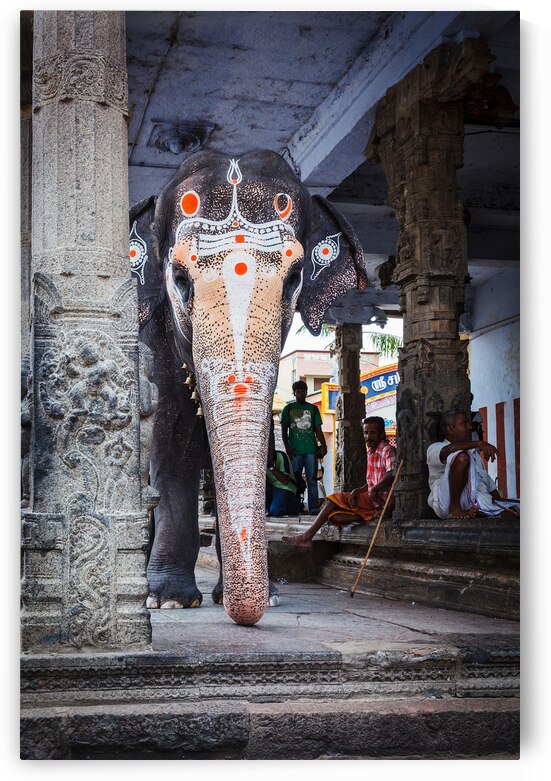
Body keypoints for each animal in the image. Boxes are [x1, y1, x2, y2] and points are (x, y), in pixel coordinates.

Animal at [129, 149, 367, 625]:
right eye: (179, 279)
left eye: (294, 278)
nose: (246, 616)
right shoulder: (154, 338)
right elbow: (171, 443)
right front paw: (167, 600)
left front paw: (269, 596)